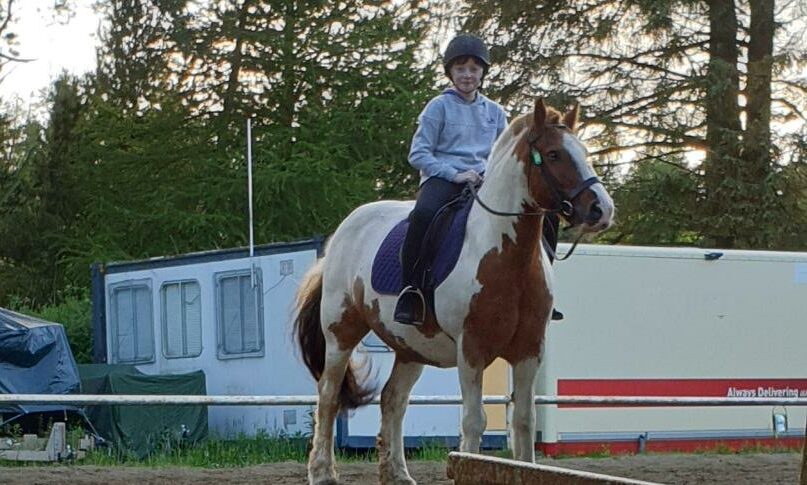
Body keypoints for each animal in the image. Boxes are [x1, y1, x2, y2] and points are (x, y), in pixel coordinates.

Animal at [294, 99, 616, 484]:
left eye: (584, 152)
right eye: (554, 154)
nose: (601, 209)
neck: (505, 255)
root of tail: (342, 232)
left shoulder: (529, 351)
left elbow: (524, 421)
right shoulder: (472, 349)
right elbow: (474, 421)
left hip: (410, 349)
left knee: (393, 399)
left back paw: (398, 473)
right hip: (341, 333)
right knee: (328, 397)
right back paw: (322, 472)